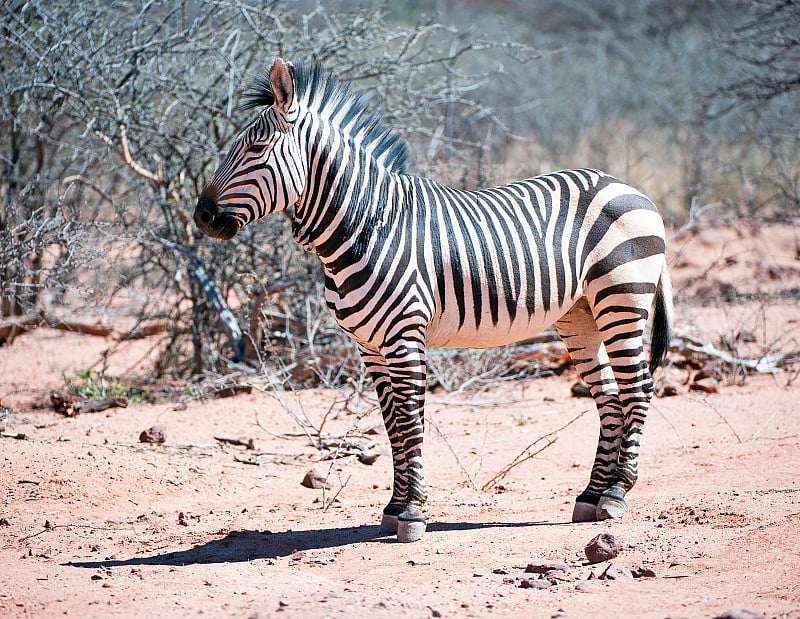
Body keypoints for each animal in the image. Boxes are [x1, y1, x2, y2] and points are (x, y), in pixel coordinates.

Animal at [197, 59, 672, 544]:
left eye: (256, 148)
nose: (202, 216)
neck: (368, 224)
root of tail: (626, 185)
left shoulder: (404, 336)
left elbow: (410, 421)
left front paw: (412, 514)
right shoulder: (370, 345)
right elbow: (391, 424)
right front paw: (393, 507)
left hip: (622, 297)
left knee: (638, 387)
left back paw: (615, 493)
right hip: (580, 314)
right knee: (608, 395)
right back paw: (591, 495)